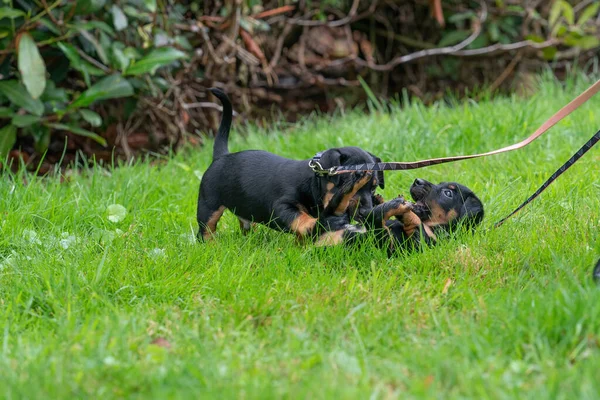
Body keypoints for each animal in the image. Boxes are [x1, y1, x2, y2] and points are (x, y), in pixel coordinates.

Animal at [197, 88, 384, 241]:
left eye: (374, 187)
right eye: (352, 180)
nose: (367, 213)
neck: (313, 185)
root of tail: (222, 156)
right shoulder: (281, 206)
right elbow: (299, 218)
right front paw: (314, 225)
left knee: (246, 223)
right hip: (208, 204)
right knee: (206, 229)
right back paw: (210, 245)